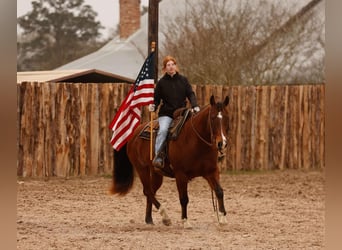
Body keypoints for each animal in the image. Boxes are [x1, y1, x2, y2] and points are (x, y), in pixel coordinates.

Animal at [110, 94, 230, 228]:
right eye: (213, 118)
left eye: (226, 118)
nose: (222, 143)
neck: (196, 141)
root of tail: (133, 133)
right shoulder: (180, 175)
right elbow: (184, 198)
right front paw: (185, 221)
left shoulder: (211, 172)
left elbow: (219, 191)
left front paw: (223, 218)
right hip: (142, 169)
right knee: (148, 191)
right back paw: (165, 216)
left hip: (156, 173)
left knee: (151, 191)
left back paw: (149, 219)